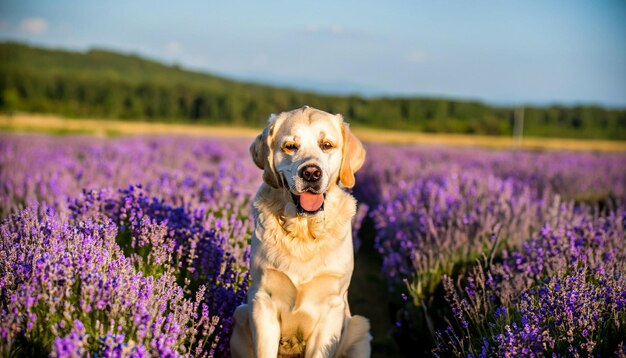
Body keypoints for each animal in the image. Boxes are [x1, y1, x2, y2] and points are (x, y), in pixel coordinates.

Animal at [230, 106, 370, 358]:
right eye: (290, 146)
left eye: (326, 145)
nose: (311, 173)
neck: (304, 230)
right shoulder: (262, 299)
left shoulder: (332, 307)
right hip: (241, 314)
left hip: (360, 329)